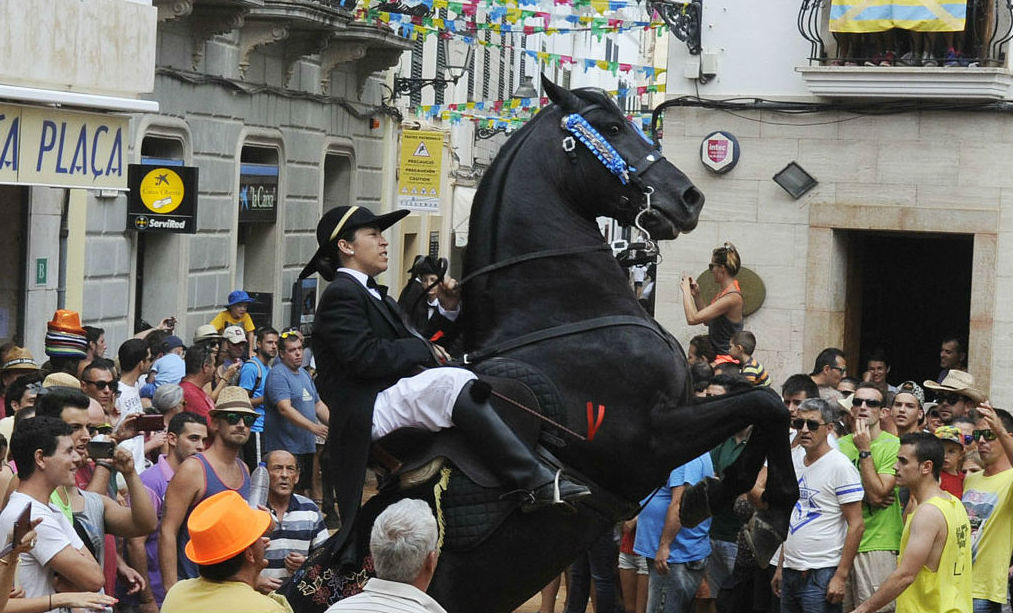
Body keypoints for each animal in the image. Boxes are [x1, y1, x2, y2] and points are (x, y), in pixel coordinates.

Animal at [279, 76, 798, 611]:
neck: (562, 313)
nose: (689, 197)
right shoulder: (649, 440)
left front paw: (722, 499)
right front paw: (759, 510)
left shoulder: (686, 405)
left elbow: (767, 404)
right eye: (614, 127)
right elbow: (765, 405)